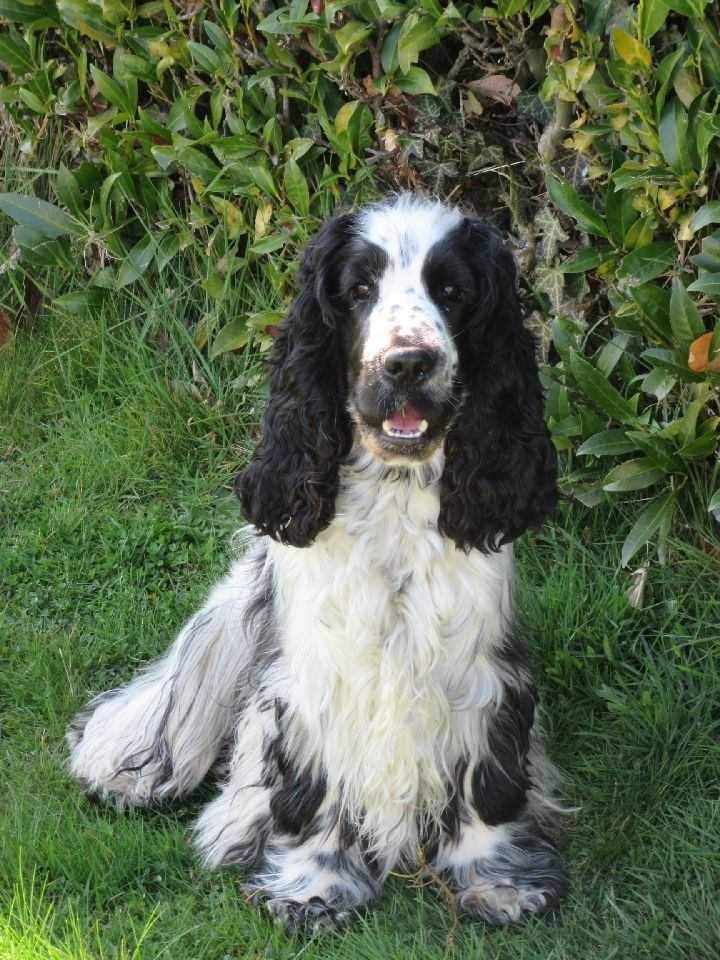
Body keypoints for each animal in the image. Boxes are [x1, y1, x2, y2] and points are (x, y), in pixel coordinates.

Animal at [70, 193, 572, 928]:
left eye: (453, 292)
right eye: (358, 291)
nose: (408, 363)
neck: (396, 495)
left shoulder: (482, 668)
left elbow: (489, 782)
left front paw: (499, 879)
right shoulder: (317, 674)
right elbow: (313, 787)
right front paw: (312, 885)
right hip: (229, 622)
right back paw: (135, 771)